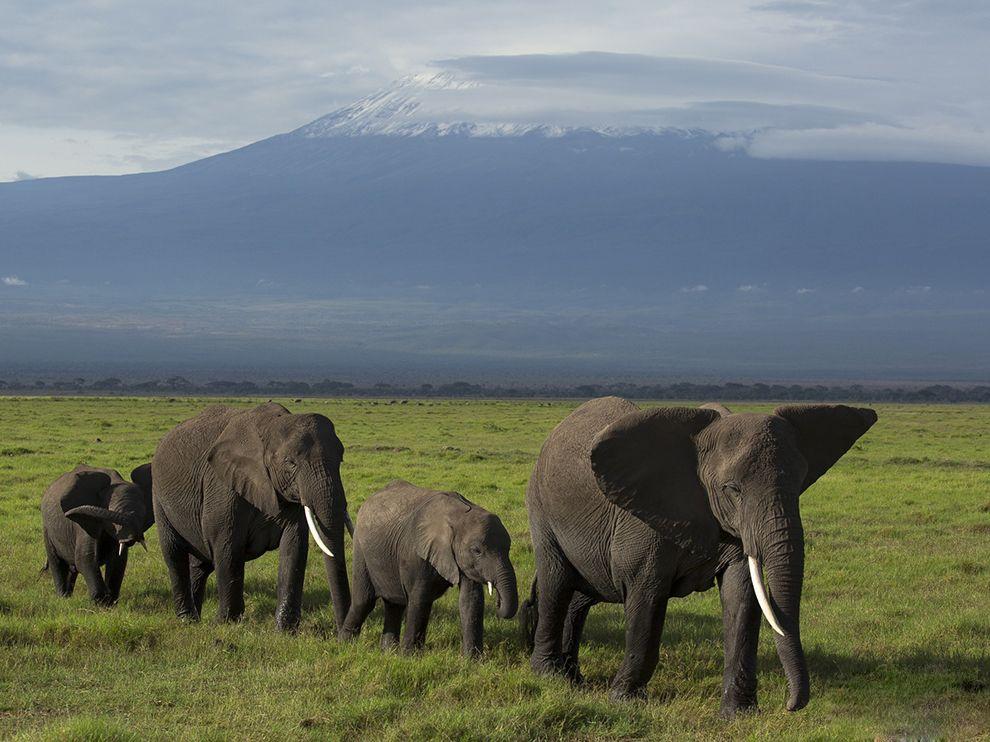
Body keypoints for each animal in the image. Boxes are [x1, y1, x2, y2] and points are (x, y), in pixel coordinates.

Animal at [40, 468, 154, 608]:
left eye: (143, 514)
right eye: (112, 512)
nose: (130, 539)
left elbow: (118, 562)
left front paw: (111, 603)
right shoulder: (85, 524)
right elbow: (85, 558)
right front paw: (101, 603)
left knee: (72, 568)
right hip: (47, 529)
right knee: (56, 562)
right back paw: (63, 598)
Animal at [153, 404, 354, 632]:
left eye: (340, 460)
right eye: (290, 463)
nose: (342, 632)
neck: (271, 426)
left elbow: (294, 546)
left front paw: (285, 631)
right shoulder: (223, 486)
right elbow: (227, 546)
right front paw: (225, 623)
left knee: (200, 563)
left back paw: (196, 617)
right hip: (158, 496)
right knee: (174, 554)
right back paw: (187, 619)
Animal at [340, 482, 520, 656]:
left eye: (509, 548)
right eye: (477, 550)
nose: (498, 601)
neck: (457, 516)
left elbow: (471, 599)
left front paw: (472, 660)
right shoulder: (416, 553)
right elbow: (420, 599)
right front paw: (409, 657)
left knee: (394, 604)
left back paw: (388, 652)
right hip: (361, 549)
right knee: (364, 601)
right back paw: (345, 644)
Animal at [524, 398, 880, 716]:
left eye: (799, 484)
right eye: (732, 490)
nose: (792, 705)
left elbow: (742, 597)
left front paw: (740, 714)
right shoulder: (642, 523)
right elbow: (647, 597)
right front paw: (626, 701)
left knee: (581, 596)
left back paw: (574, 679)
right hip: (541, 507)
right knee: (556, 583)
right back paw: (551, 677)